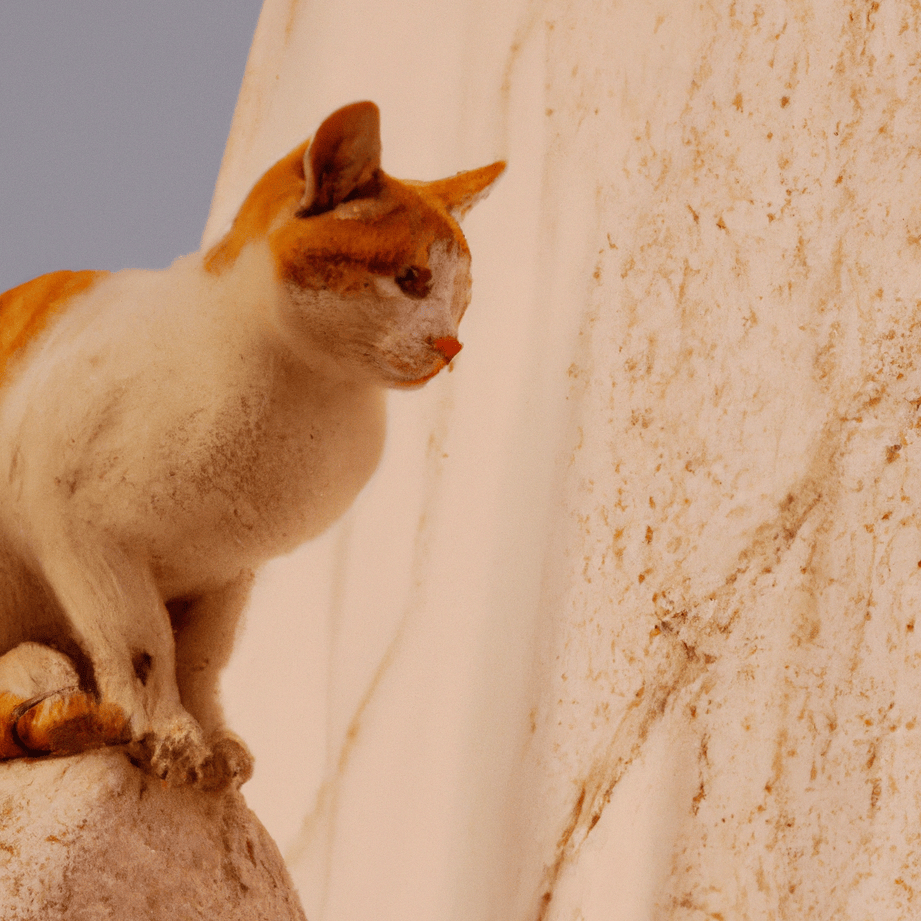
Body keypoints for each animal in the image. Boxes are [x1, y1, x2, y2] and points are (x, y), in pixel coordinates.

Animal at [0, 102, 504, 792]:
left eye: (463, 302)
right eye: (411, 280)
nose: (451, 347)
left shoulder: (227, 574)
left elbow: (201, 662)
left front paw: (213, 741)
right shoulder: (82, 536)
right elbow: (141, 647)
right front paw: (169, 734)